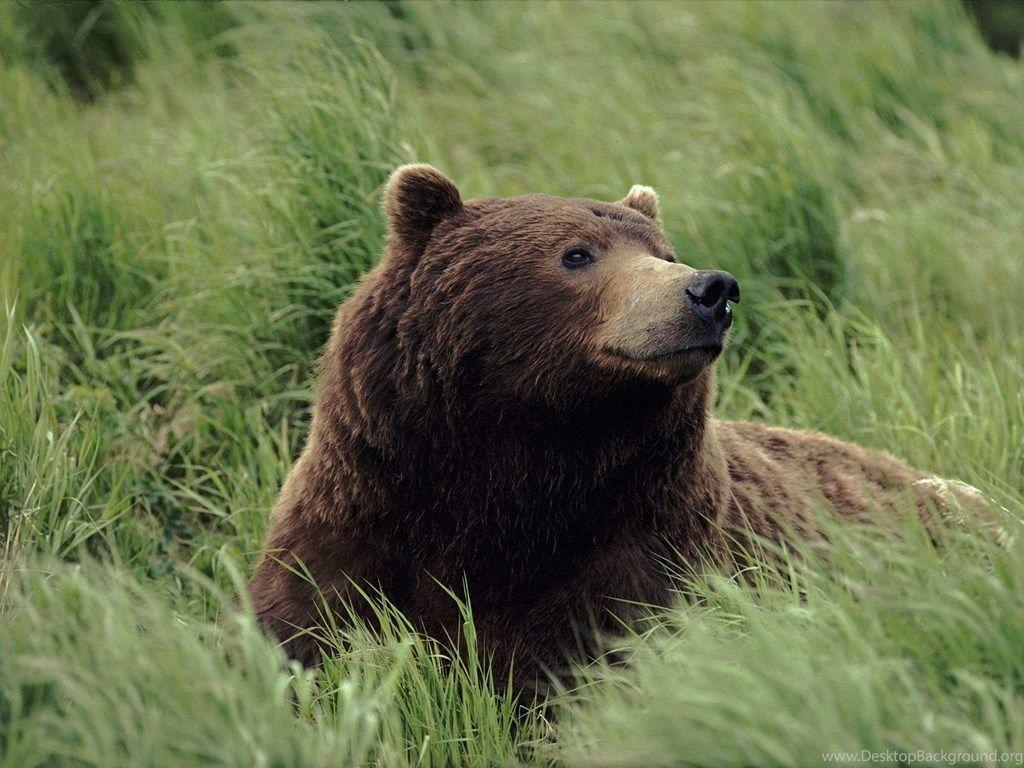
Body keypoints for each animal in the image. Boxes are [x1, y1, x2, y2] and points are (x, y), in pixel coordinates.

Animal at [248, 164, 986, 695]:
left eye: (664, 250)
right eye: (578, 254)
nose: (711, 290)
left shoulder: (641, 540)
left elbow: (599, 655)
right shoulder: (366, 513)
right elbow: (311, 631)